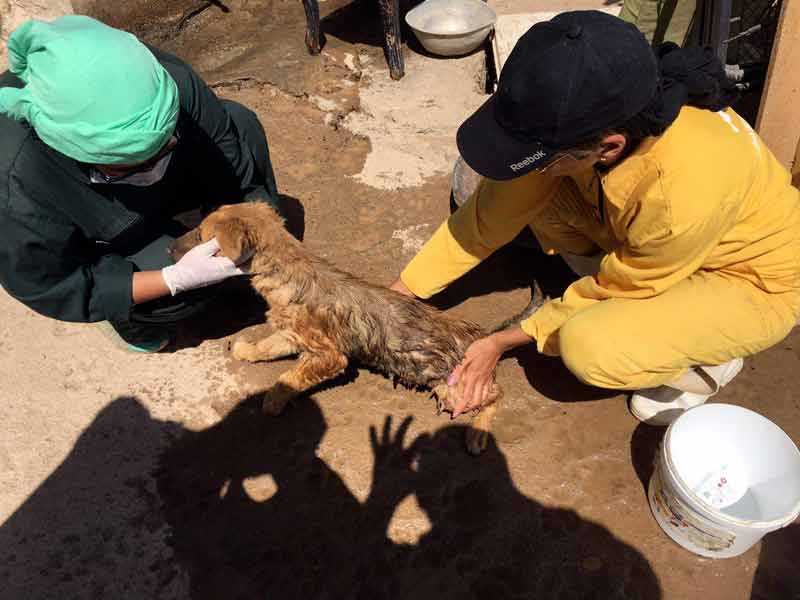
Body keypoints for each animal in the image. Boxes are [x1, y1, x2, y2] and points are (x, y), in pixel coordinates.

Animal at [170, 203, 535, 454]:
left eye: (201, 235)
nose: (169, 248)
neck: (287, 272)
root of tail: (479, 335)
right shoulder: (292, 334)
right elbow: (267, 347)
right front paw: (246, 350)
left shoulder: (330, 356)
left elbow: (288, 377)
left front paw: (273, 401)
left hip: (456, 387)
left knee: (497, 395)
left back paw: (477, 433)